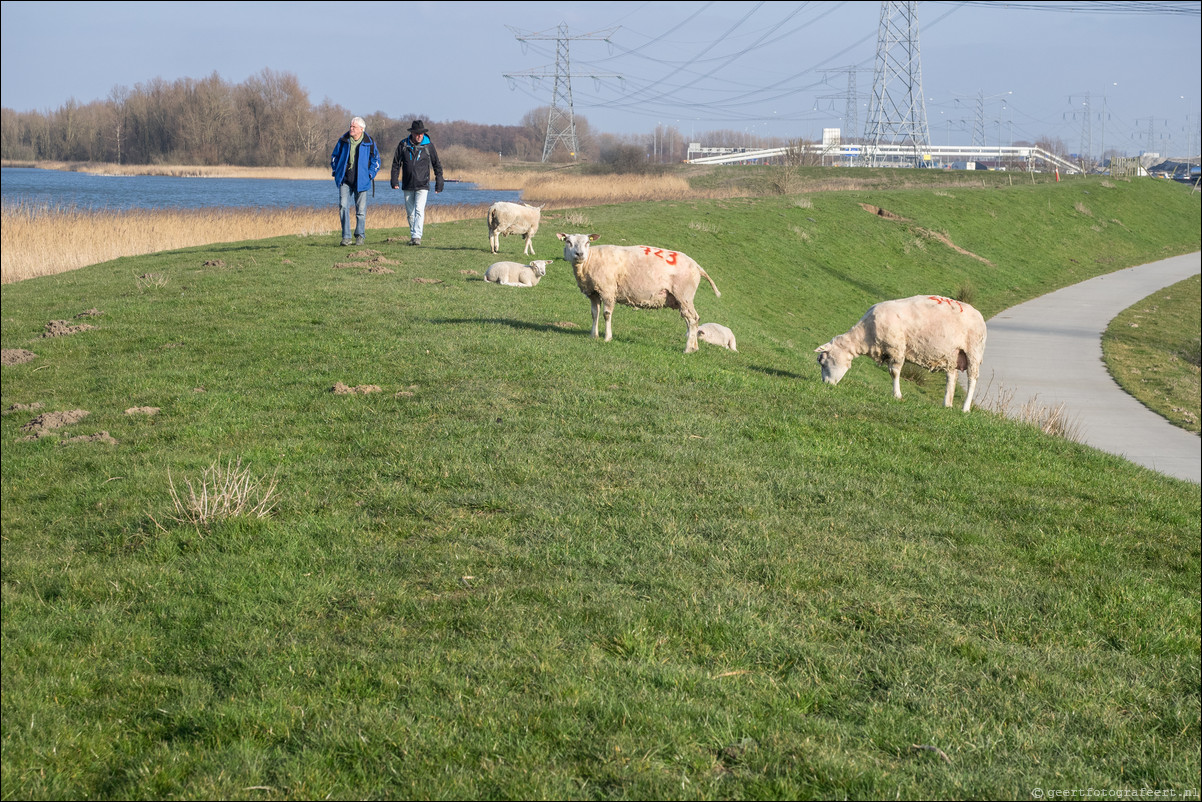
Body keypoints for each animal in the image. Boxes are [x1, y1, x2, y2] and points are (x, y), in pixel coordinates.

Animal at [555, 230, 721, 353]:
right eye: (568, 242)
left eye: (587, 242)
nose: (579, 254)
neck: (589, 260)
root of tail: (697, 266)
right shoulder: (593, 292)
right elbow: (594, 314)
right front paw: (593, 336)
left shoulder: (608, 290)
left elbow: (606, 314)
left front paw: (607, 338)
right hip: (682, 298)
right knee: (692, 319)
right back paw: (694, 347)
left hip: (684, 294)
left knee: (692, 319)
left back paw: (687, 349)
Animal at [812, 293, 990, 411]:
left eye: (822, 361)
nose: (825, 384)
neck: (866, 334)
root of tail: (979, 315)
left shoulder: (896, 348)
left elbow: (894, 372)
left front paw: (897, 395)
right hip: (952, 354)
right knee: (951, 378)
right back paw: (947, 404)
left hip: (974, 351)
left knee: (972, 379)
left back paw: (965, 408)